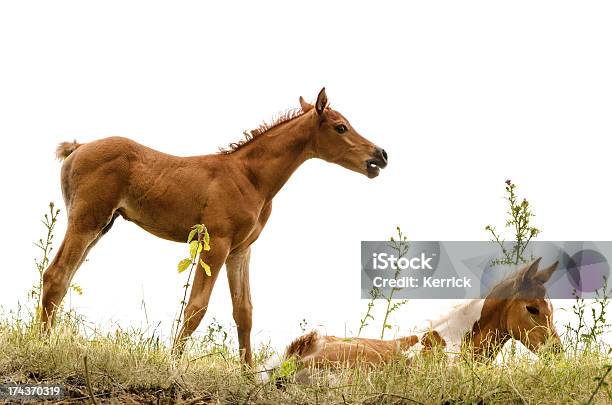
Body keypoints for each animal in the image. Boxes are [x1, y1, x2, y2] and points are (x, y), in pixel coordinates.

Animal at [41, 89, 388, 366]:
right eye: (341, 127)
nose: (381, 155)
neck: (250, 177)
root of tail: (79, 147)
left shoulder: (241, 250)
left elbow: (244, 312)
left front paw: (248, 376)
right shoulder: (216, 242)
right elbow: (196, 307)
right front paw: (173, 364)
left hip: (101, 226)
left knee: (64, 277)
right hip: (87, 220)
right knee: (55, 274)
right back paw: (40, 343)